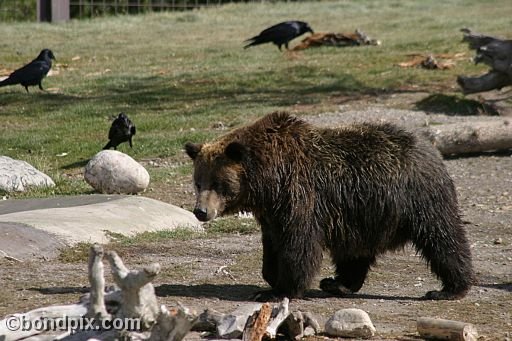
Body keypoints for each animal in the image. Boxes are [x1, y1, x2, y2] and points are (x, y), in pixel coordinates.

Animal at [185, 110, 476, 298]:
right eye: (198, 182)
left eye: (218, 183)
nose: (201, 211)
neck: (268, 180)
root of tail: (430, 148)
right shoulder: (272, 213)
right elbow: (273, 243)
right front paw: (270, 277)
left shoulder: (299, 196)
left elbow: (299, 244)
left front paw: (281, 289)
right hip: (363, 214)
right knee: (354, 253)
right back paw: (338, 283)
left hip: (419, 199)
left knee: (442, 238)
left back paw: (449, 288)